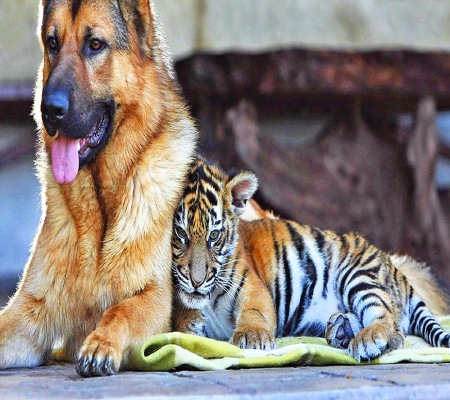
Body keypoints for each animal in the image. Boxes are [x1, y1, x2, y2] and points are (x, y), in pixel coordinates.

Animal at [0, 0, 197, 376]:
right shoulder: (30, 310)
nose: (49, 110)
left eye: (95, 45)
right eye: (53, 43)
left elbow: (120, 311)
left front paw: (102, 343)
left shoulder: (156, 301)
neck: (102, 207)